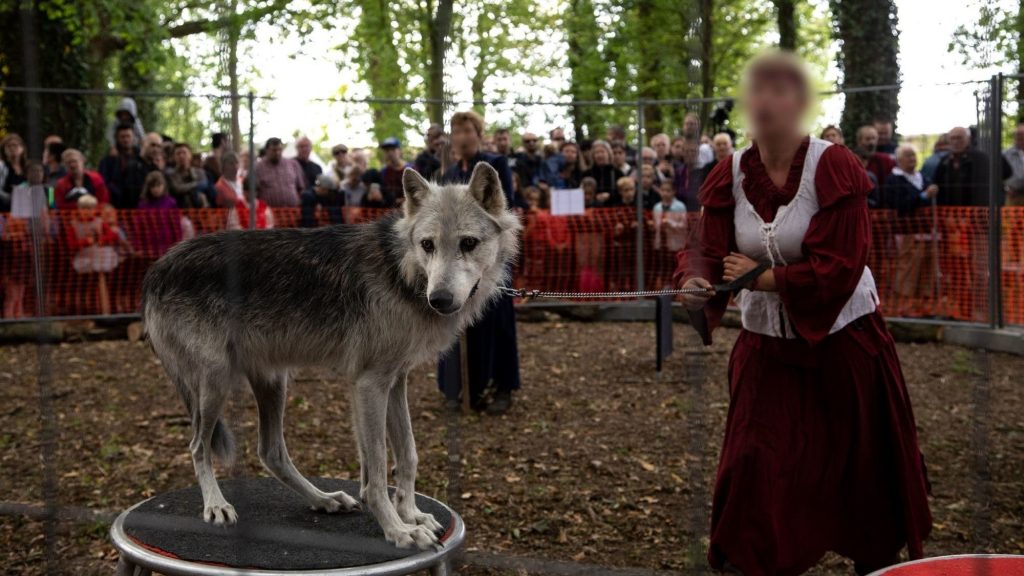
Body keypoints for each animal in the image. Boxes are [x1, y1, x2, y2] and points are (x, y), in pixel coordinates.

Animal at [141, 162, 521, 549]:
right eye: (427, 245)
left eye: (468, 243)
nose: (439, 299)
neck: (400, 271)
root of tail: (156, 270)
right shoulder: (369, 384)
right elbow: (377, 469)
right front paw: (398, 530)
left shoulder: (394, 382)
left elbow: (408, 454)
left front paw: (411, 514)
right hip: (216, 385)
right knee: (198, 446)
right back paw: (216, 505)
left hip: (273, 383)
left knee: (271, 453)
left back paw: (323, 500)